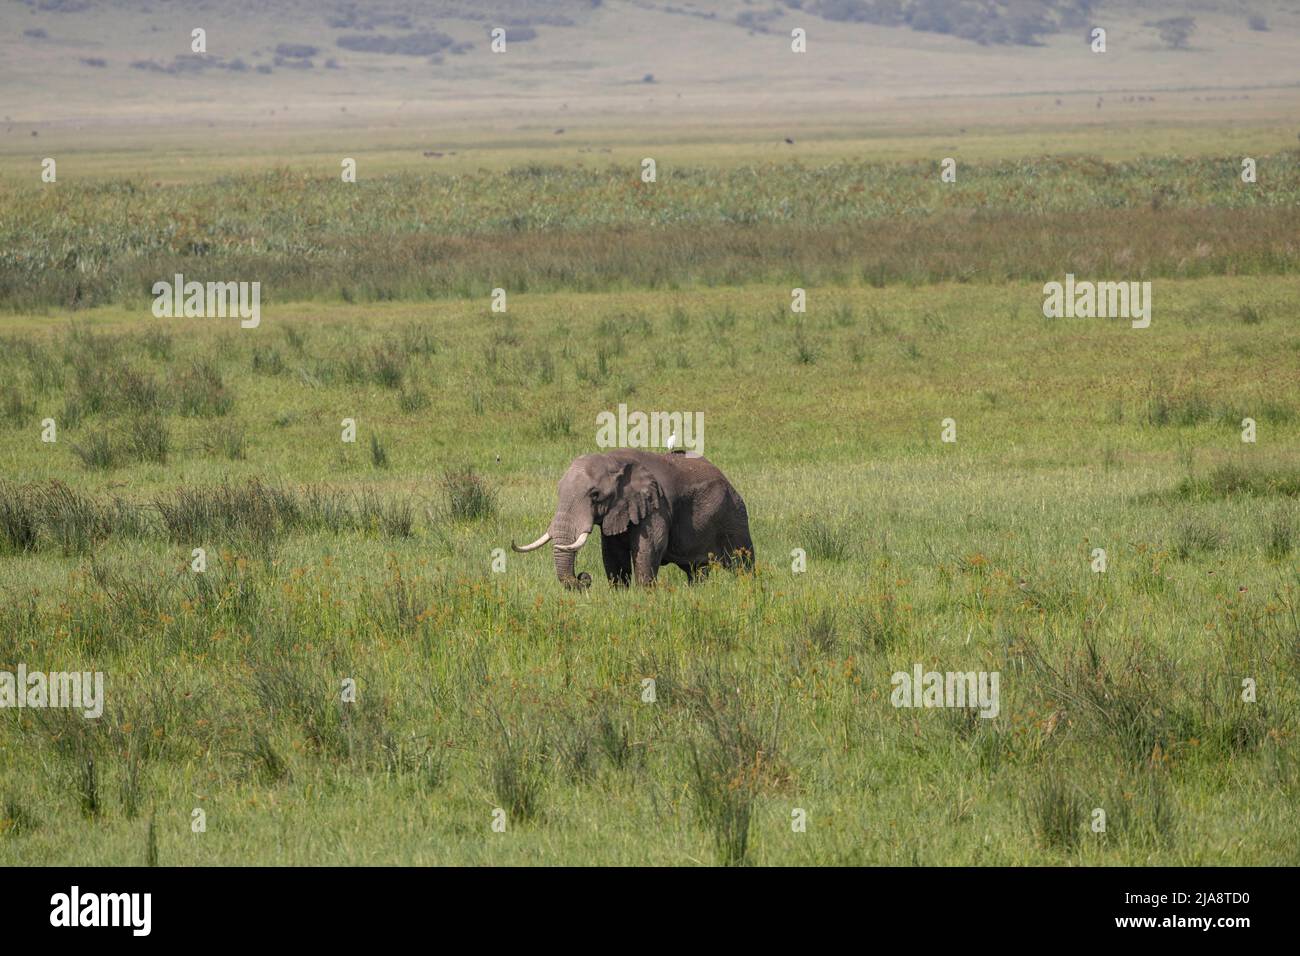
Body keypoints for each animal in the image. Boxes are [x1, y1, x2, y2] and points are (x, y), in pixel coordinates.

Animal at [506, 450, 754, 590]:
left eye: (595, 495)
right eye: (558, 491)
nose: (584, 577)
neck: (614, 460)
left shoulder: (656, 505)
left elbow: (648, 549)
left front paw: (645, 597)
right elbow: (612, 554)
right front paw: (620, 594)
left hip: (734, 516)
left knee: (743, 564)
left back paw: (747, 589)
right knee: (696, 571)